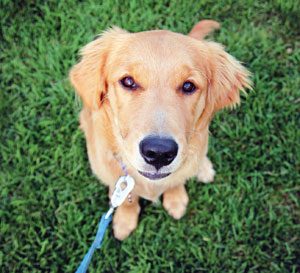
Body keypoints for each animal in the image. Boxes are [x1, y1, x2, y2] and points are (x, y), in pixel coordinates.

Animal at [69, 20, 251, 239]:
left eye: (189, 86)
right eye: (128, 81)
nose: (159, 153)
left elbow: (176, 179)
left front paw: (176, 199)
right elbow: (127, 196)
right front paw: (125, 220)